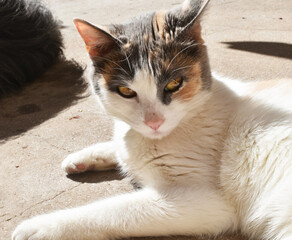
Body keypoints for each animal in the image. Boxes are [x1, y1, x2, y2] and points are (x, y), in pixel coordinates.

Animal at [12, 0, 292, 240]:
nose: (153, 122)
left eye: (174, 83)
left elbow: (113, 211)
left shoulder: (202, 201)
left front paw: (39, 227)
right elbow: (119, 146)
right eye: (125, 91)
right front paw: (84, 157)